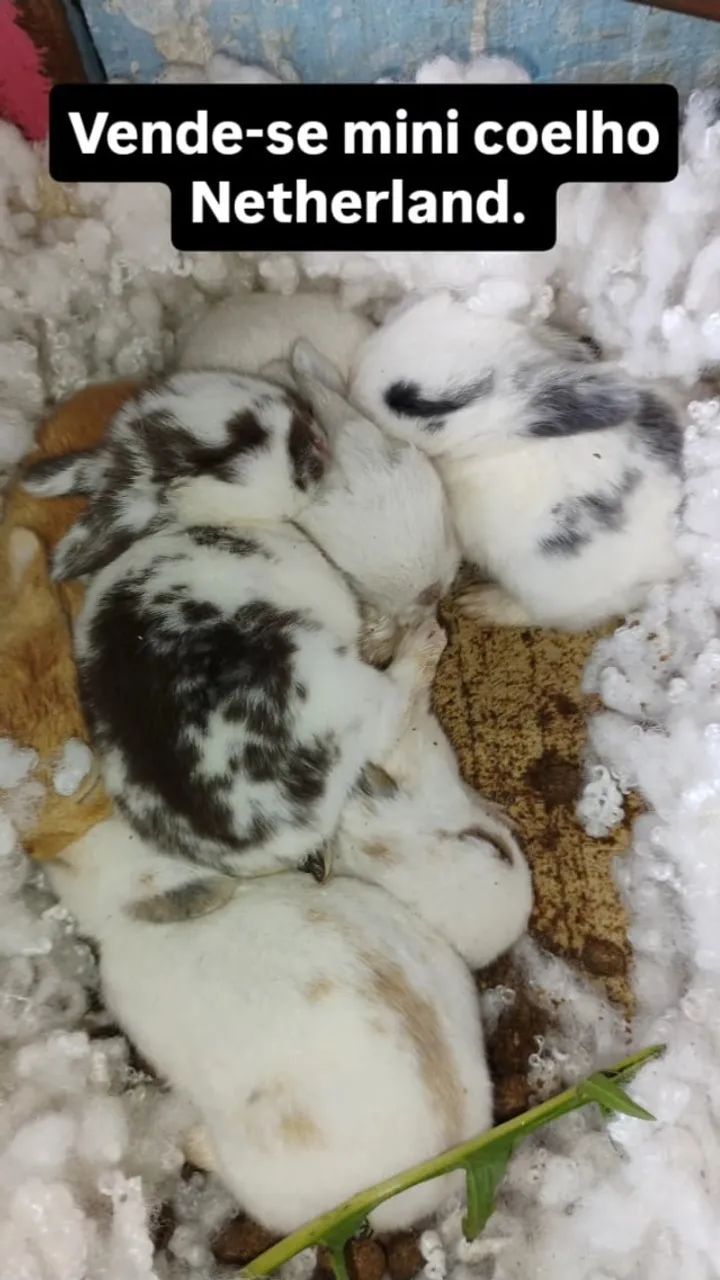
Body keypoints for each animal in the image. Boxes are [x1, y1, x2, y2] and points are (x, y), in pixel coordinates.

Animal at [22, 371, 444, 879]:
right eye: (240, 440)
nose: (315, 434)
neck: (215, 518)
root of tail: (275, 828)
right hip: (334, 679)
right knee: (392, 715)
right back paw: (426, 640)